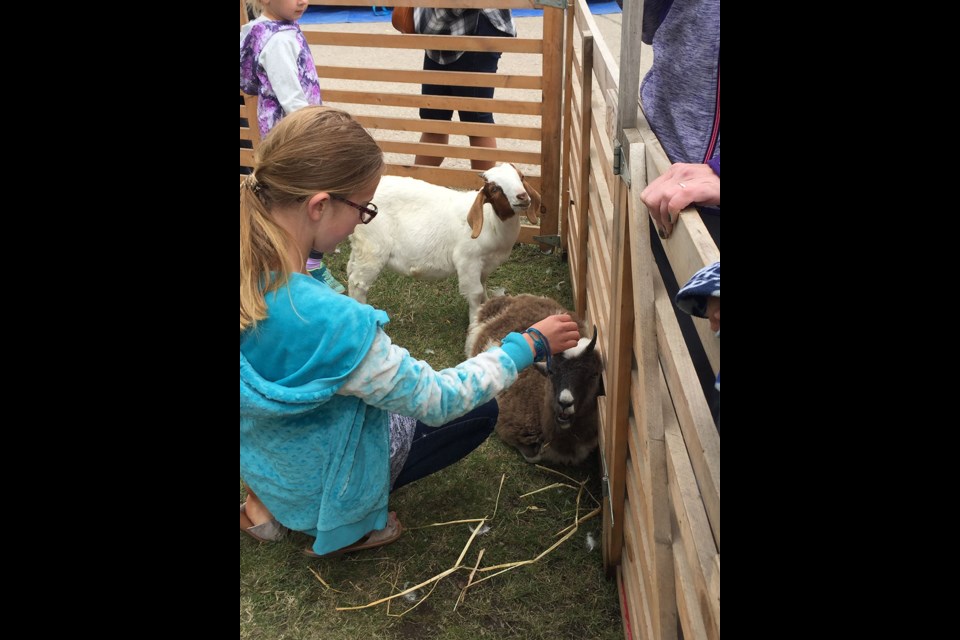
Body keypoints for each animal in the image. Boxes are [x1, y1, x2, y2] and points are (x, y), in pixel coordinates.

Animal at [344, 165, 540, 320]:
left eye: (521, 177)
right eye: (494, 189)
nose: (522, 196)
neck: (492, 222)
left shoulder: (485, 266)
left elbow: (484, 289)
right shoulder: (468, 260)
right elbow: (476, 293)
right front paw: (475, 324)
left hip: (360, 247)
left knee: (350, 271)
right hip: (373, 247)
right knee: (358, 283)